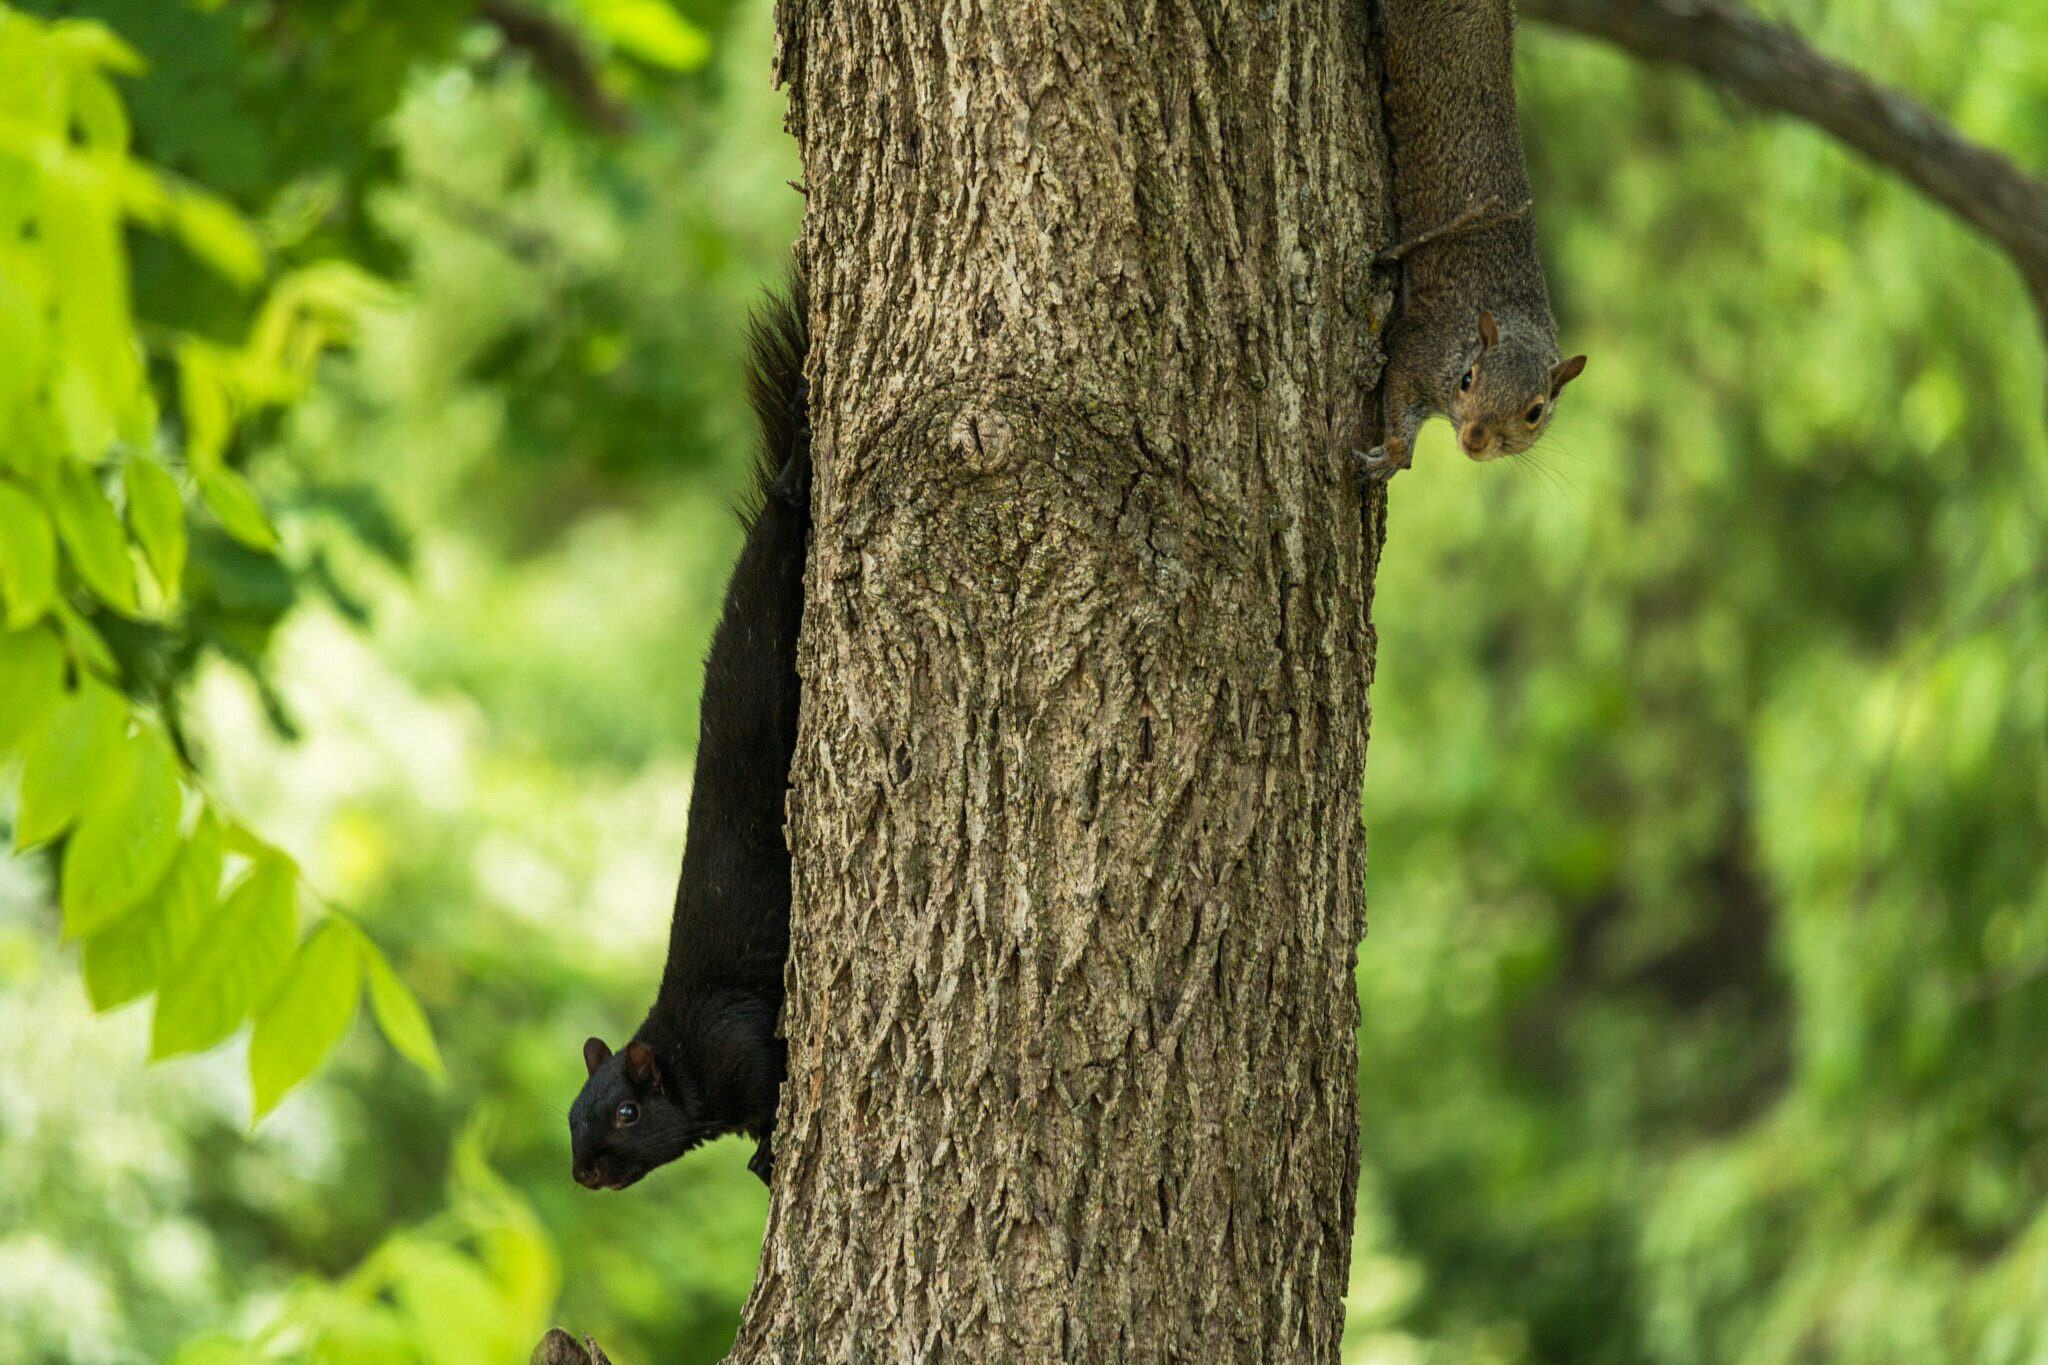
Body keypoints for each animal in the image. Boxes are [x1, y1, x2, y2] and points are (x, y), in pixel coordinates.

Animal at [569, 266, 810, 1190]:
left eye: (628, 1113)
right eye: (573, 1115)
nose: (585, 1171)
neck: (681, 1057)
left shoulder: (742, 1041)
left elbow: (776, 1095)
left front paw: (770, 1152)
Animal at [1356, 0, 1586, 482]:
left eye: (1535, 412)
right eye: (1467, 380)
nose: (1475, 440)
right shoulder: (1421, 344)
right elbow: (1398, 381)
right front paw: (1395, 452)